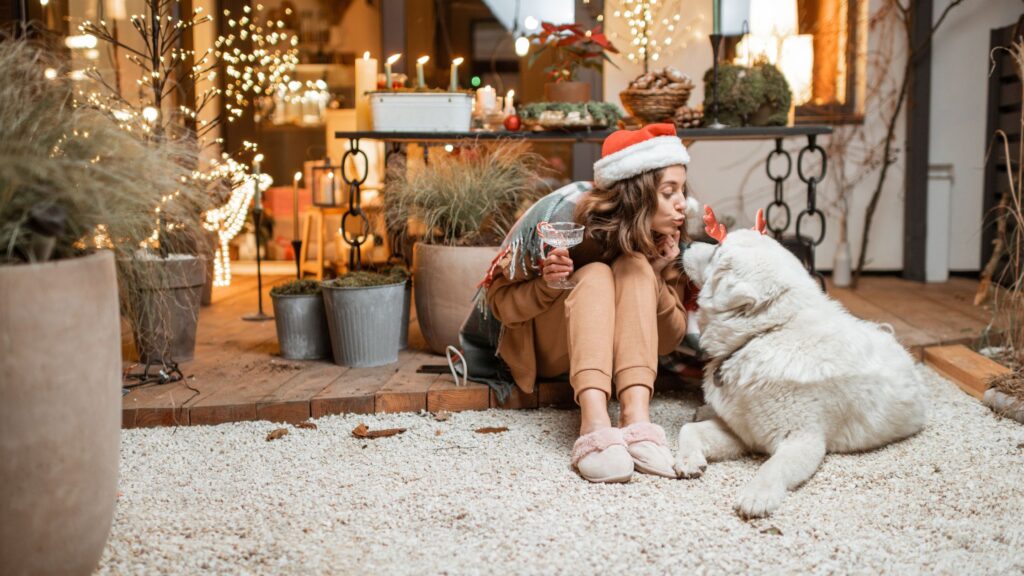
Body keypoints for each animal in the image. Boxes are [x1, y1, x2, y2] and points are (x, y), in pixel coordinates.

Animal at [679, 218, 929, 516]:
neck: (765, 333)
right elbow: (687, 430)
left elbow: (772, 467)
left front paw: (757, 496)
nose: (685, 243)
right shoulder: (742, 432)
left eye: (717, 252)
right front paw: (688, 459)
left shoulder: (804, 440)